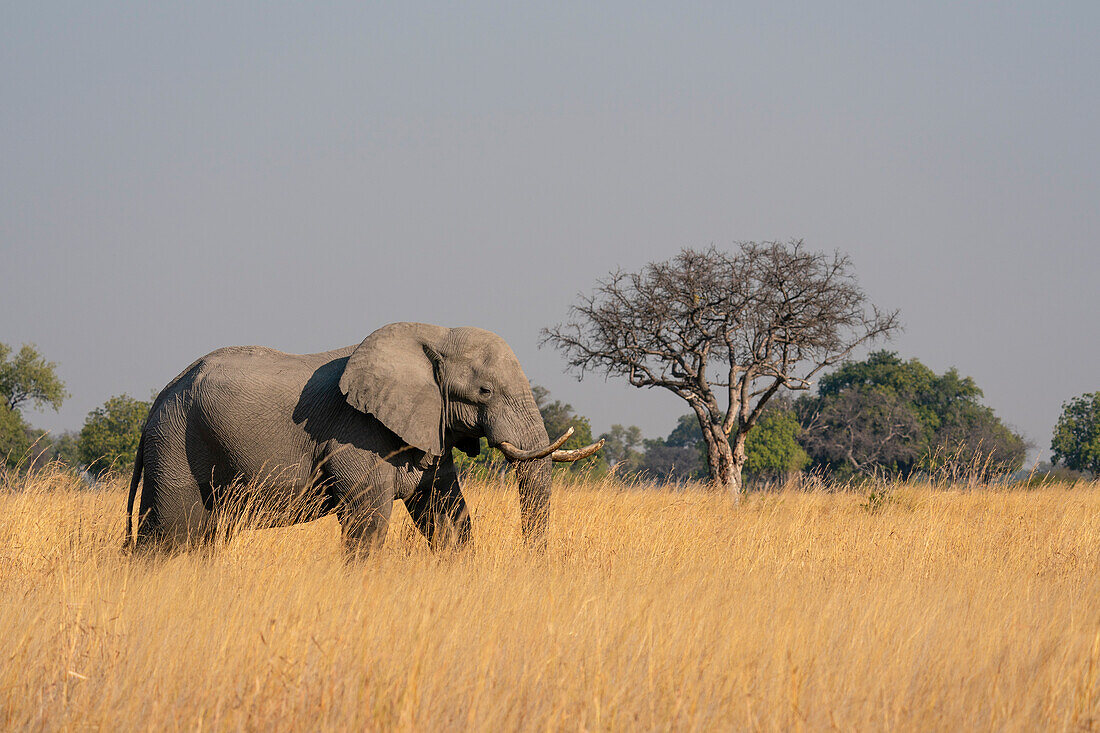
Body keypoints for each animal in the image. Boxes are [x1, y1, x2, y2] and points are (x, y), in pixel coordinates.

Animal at [125, 319, 607, 554]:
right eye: (485, 391)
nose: (532, 561)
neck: (432, 337)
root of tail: (156, 404)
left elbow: (448, 513)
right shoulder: (357, 433)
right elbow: (369, 521)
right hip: (177, 442)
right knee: (172, 533)